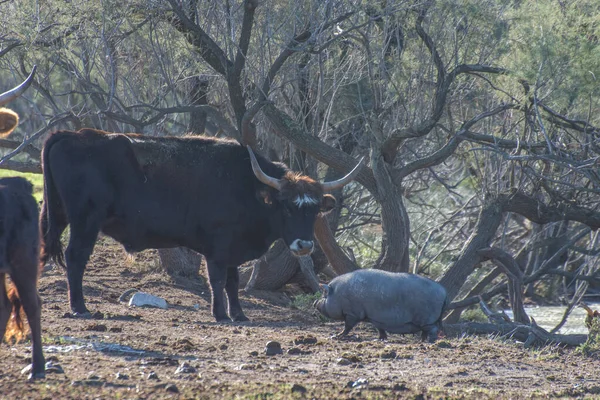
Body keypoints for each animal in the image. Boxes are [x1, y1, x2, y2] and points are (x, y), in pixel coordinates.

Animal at [41, 130, 360, 324]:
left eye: (314, 210)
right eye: (287, 207)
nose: (304, 245)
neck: (247, 187)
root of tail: (72, 134)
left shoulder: (234, 249)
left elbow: (233, 282)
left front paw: (239, 314)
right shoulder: (218, 248)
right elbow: (217, 280)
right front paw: (220, 314)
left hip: (62, 216)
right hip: (85, 222)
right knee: (75, 258)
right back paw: (79, 307)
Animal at [312, 268, 448, 340]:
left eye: (324, 294)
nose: (314, 302)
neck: (338, 294)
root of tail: (444, 291)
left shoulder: (352, 313)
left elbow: (348, 326)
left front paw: (336, 336)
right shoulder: (376, 318)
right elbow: (379, 328)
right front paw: (379, 339)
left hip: (426, 318)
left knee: (433, 329)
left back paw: (428, 341)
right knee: (427, 331)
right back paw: (421, 340)